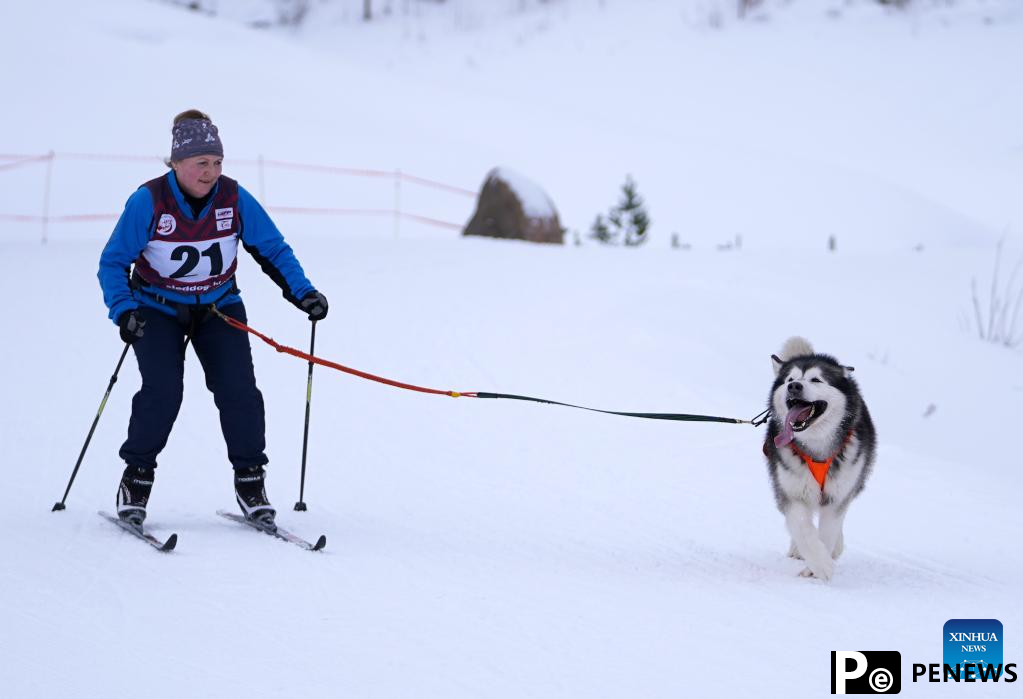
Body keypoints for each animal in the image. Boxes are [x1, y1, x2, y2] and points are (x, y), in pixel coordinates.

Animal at [765, 335, 875, 581]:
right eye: (790, 379)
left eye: (816, 380)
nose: (794, 386)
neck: (816, 447)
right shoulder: (791, 492)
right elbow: (802, 527)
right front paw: (820, 563)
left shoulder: (838, 495)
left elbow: (829, 529)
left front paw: (819, 564)